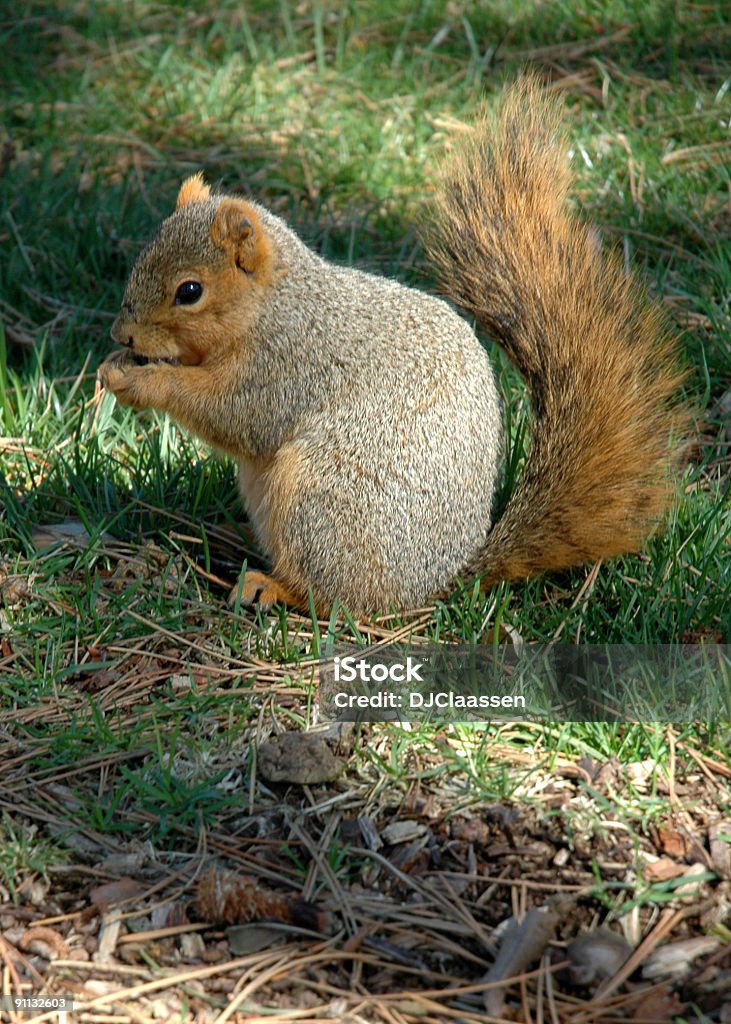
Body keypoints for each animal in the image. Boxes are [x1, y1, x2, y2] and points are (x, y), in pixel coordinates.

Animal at [99, 77, 688, 614]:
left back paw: (273, 587)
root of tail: (437, 583)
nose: (122, 335)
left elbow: (232, 414)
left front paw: (140, 379)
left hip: (322, 500)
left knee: (338, 597)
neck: (274, 307)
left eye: (189, 291)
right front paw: (112, 366)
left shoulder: (287, 366)